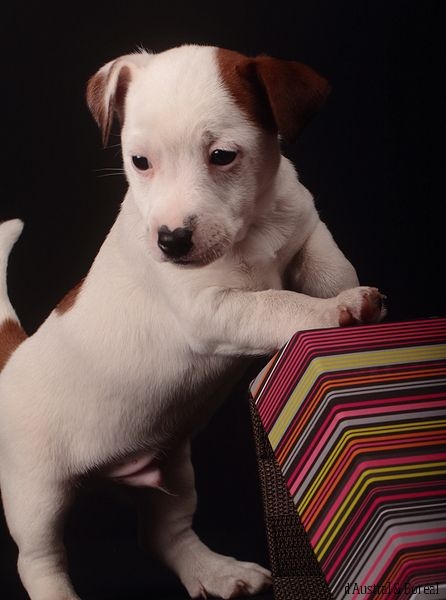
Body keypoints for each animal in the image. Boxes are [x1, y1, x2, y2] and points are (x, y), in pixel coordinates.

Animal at [0, 44, 385, 600]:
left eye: (222, 156)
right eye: (140, 162)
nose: (171, 241)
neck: (253, 229)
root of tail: (11, 362)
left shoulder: (307, 234)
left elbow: (330, 267)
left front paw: (351, 297)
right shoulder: (209, 308)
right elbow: (275, 303)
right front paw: (332, 311)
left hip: (172, 469)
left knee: (164, 533)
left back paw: (216, 572)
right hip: (36, 493)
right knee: (38, 559)